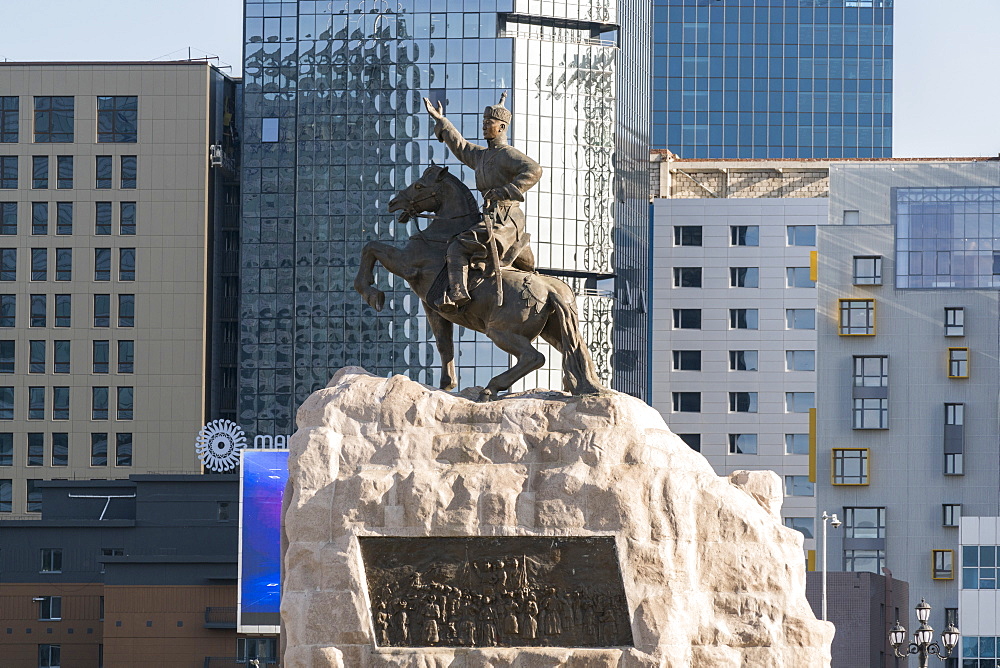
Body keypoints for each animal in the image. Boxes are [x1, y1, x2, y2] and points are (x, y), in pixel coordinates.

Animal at [356, 166, 604, 402]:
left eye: (419, 186)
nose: (393, 203)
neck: (442, 235)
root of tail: (551, 290)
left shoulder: (406, 265)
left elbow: (371, 247)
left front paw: (372, 294)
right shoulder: (433, 307)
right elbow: (445, 345)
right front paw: (446, 385)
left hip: (500, 330)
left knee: (534, 357)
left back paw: (490, 388)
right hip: (553, 331)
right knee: (577, 353)